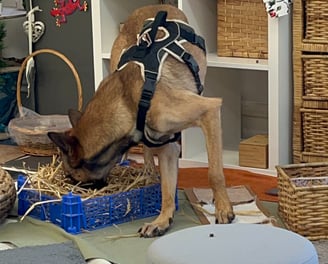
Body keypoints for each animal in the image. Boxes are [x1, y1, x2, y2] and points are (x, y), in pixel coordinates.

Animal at [47, 4, 234, 236]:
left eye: (72, 176)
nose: (74, 192)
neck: (129, 103)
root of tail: (156, 6)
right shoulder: (167, 147)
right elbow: (167, 189)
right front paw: (162, 220)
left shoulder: (209, 111)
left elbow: (214, 173)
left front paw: (223, 208)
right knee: (147, 152)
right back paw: (148, 171)